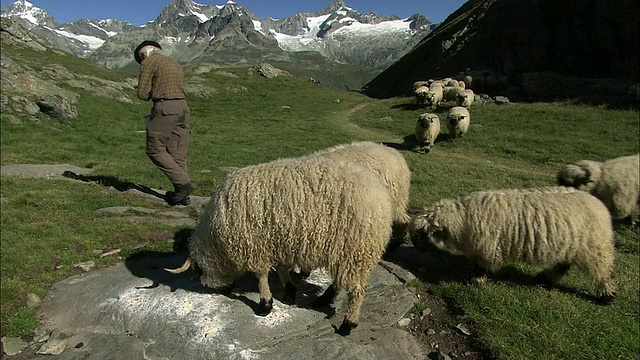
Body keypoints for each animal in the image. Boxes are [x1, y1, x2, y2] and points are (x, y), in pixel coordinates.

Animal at [166, 154, 396, 334]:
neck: (217, 238)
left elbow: (261, 276)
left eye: (199, 272)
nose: (225, 290)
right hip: (346, 251)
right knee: (341, 280)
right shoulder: (279, 243)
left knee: (357, 291)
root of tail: (382, 197)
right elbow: (283, 269)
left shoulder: (254, 245)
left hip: (356, 249)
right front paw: (289, 291)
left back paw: (348, 323)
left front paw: (265, 304)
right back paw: (325, 298)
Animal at [410, 188, 616, 304]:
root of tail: (600, 205)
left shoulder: (488, 247)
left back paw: (607, 296)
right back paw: (544, 280)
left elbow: (480, 266)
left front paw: (476, 281)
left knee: (602, 271)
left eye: (421, 234)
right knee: (562, 265)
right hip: (569, 245)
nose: (417, 249)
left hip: (595, 247)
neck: (463, 220)